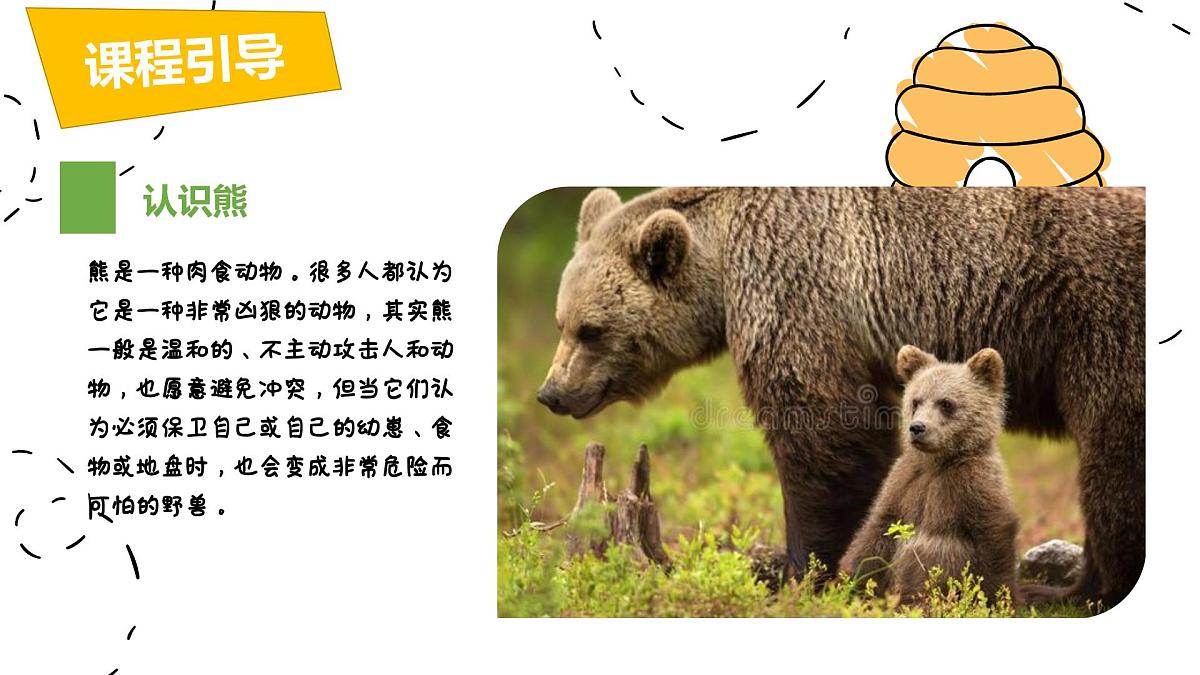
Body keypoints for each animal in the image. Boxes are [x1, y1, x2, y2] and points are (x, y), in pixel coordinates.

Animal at [838, 345, 1019, 604]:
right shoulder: (904, 483)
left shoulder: (973, 484)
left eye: (946, 403)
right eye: (916, 401)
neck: (937, 463)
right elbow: (876, 532)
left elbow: (993, 542)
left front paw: (1000, 600)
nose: (917, 428)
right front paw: (844, 583)